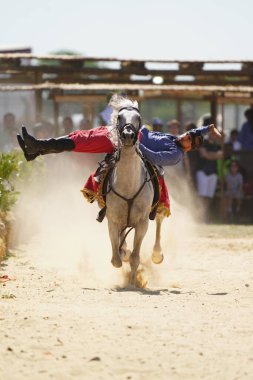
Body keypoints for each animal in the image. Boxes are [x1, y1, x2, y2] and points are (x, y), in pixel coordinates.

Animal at [105, 96, 164, 286]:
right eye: (119, 117)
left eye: (138, 118)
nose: (128, 135)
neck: (128, 185)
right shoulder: (113, 220)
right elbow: (116, 258)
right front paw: (122, 252)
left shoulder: (142, 222)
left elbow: (135, 258)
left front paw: (133, 281)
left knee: (159, 220)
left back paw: (157, 254)